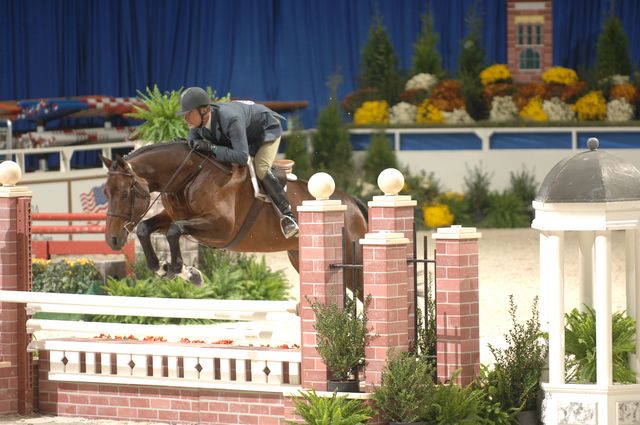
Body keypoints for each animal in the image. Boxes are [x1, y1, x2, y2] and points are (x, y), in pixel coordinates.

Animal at [98, 141, 368, 286]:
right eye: (105, 192)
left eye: (125, 194)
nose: (113, 240)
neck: (190, 174)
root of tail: (351, 203)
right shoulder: (173, 215)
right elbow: (146, 228)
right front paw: (164, 269)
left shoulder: (221, 229)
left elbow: (175, 231)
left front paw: (187, 273)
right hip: (299, 258)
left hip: (352, 263)